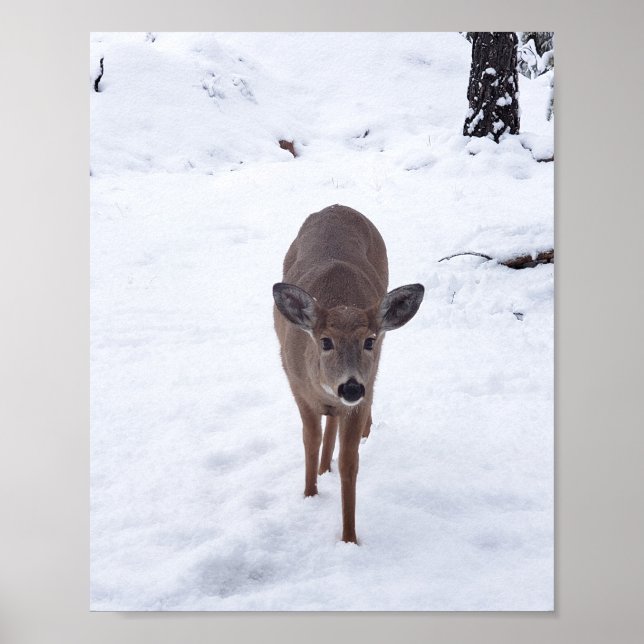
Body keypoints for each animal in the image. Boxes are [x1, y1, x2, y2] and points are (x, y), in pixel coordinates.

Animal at [272, 204, 424, 543]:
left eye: (369, 340)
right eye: (325, 341)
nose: (351, 387)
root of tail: (338, 206)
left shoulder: (362, 396)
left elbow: (349, 463)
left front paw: (349, 538)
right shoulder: (297, 386)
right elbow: (310, 439)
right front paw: (310, 495)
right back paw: (321, 469)